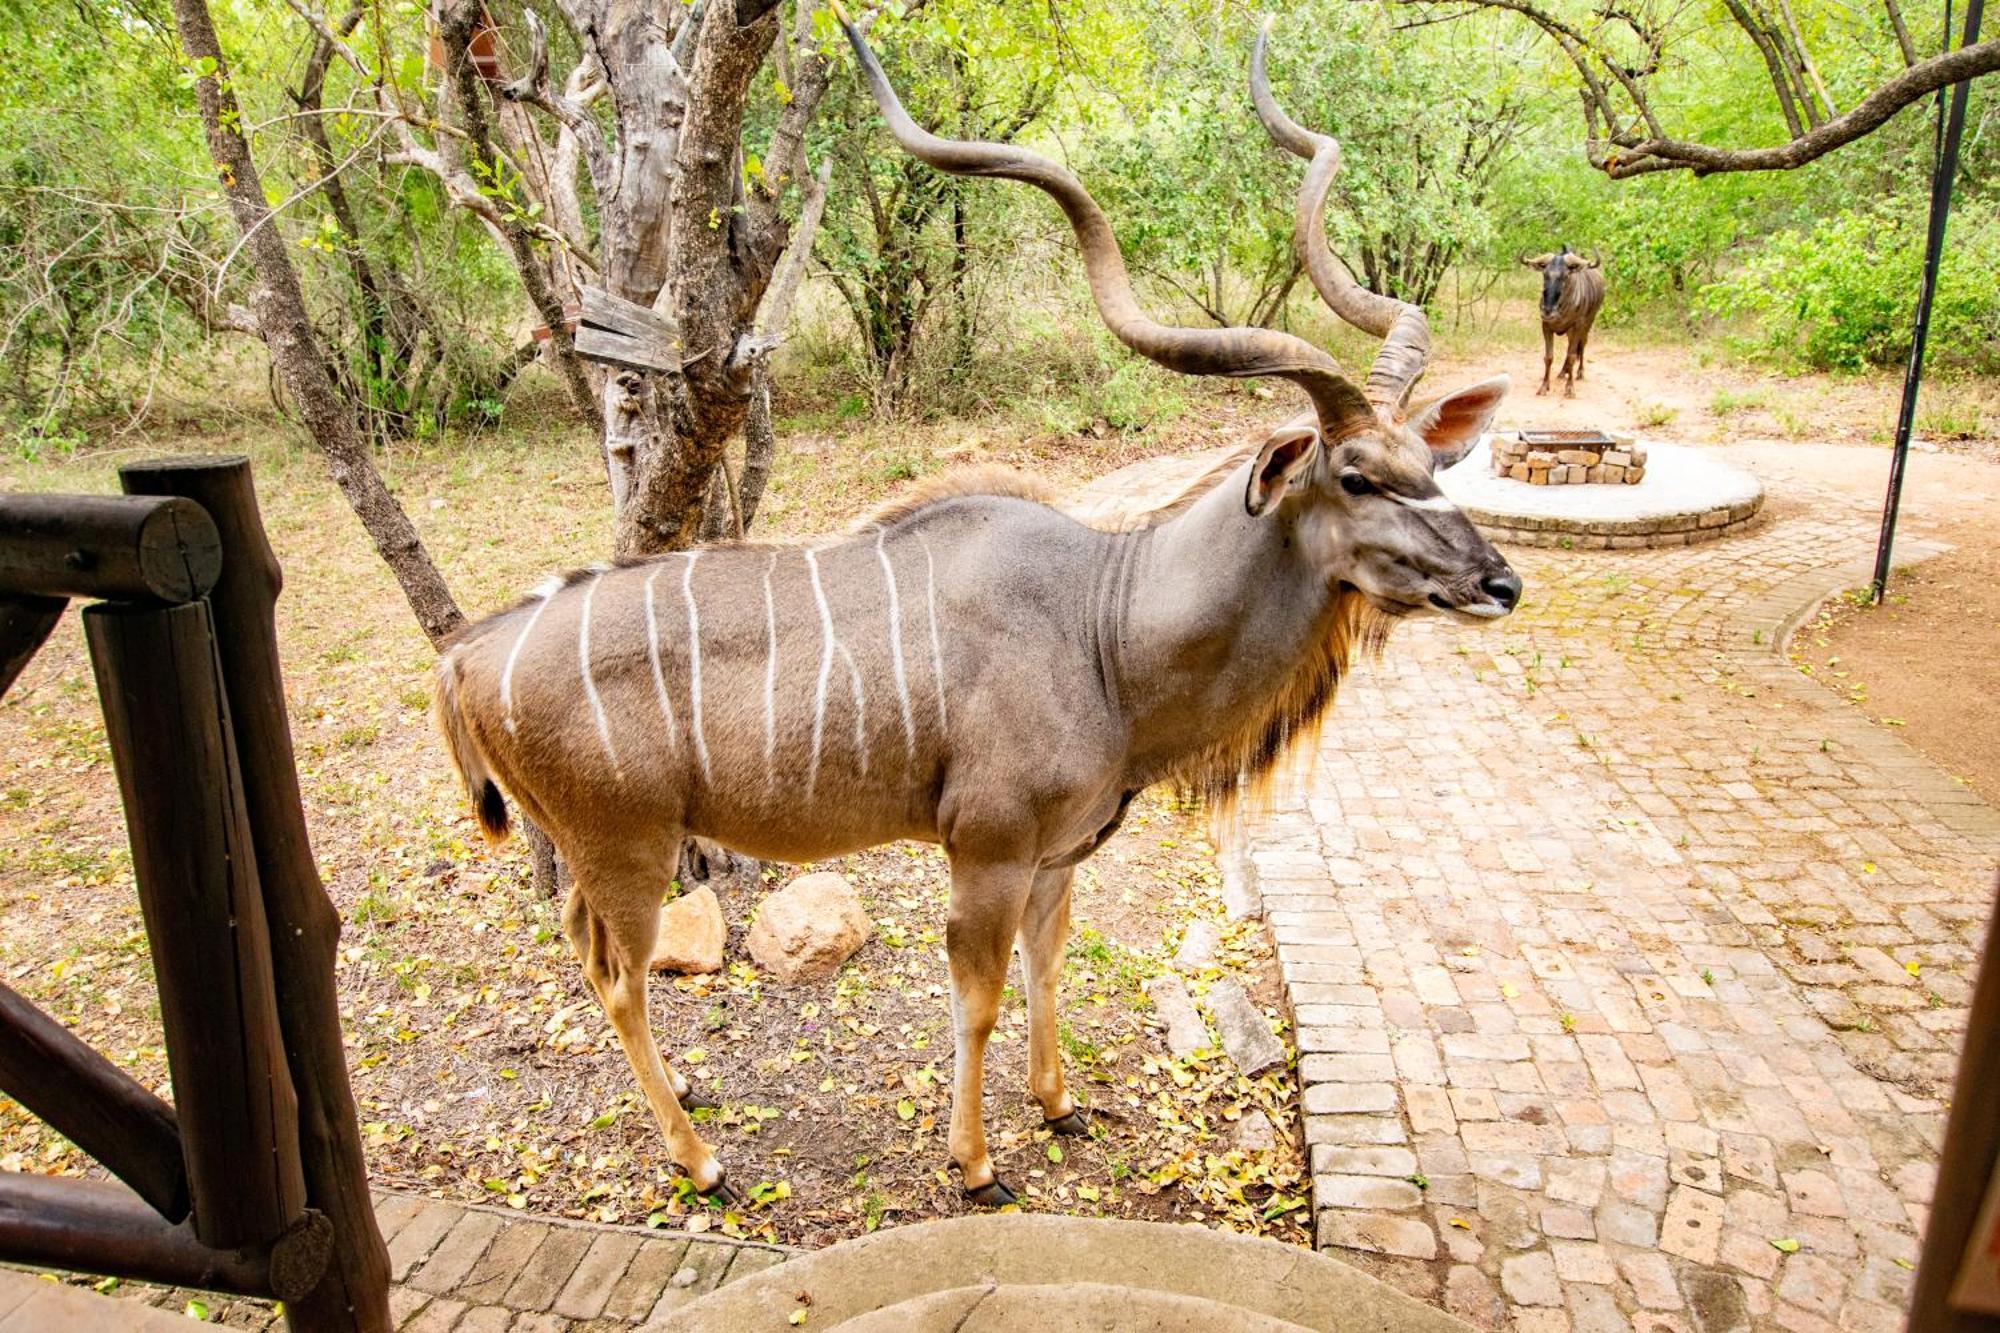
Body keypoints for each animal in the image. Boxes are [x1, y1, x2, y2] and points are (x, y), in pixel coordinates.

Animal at [434, 15, 1512, 1200]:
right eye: (1357, 475)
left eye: (1433, 462)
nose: (1498, 581)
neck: (1103, 630)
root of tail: (463, 656)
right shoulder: (986, 852)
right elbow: (979, 998)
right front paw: (976, 1162)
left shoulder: (1056, 858)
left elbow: (1049, 968)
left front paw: (1060, 1105)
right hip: (625, 848)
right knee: (619, 976)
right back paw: (701, 1158)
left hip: (599, 857)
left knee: (585, 951)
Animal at [1520, 245, 1600, 394]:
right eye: (1545, 274)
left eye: (1565, 276)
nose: (1547, 310)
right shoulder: (1546, 326)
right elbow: (1549, 357)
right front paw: (1544, 386)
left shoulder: (1578, 326)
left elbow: (1572, 356)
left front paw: (1570, 388)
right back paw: (1563, 372)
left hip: (1588, 324)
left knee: (1582, 346)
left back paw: (1580, 372)